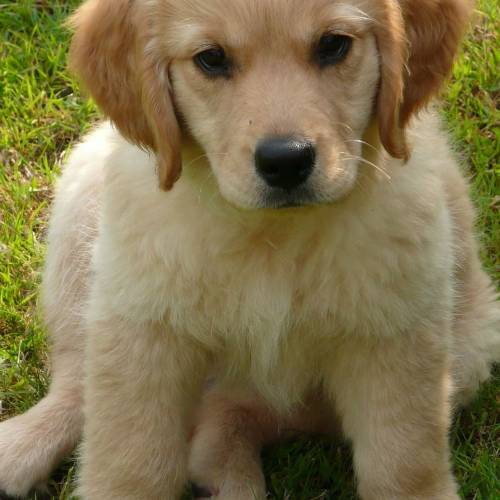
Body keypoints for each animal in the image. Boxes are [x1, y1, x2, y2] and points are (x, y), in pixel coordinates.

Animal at [0, 0, 500, 498]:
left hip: (469, 347)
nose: (287, 160)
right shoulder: (141, 325)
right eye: (211, 59)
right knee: (77, 381)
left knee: (222, 426)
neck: (269, 235)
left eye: (333, 45)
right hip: (82, 208)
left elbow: (402, 461)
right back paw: (21, 448)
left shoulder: (397, 331)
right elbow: (131, 461)